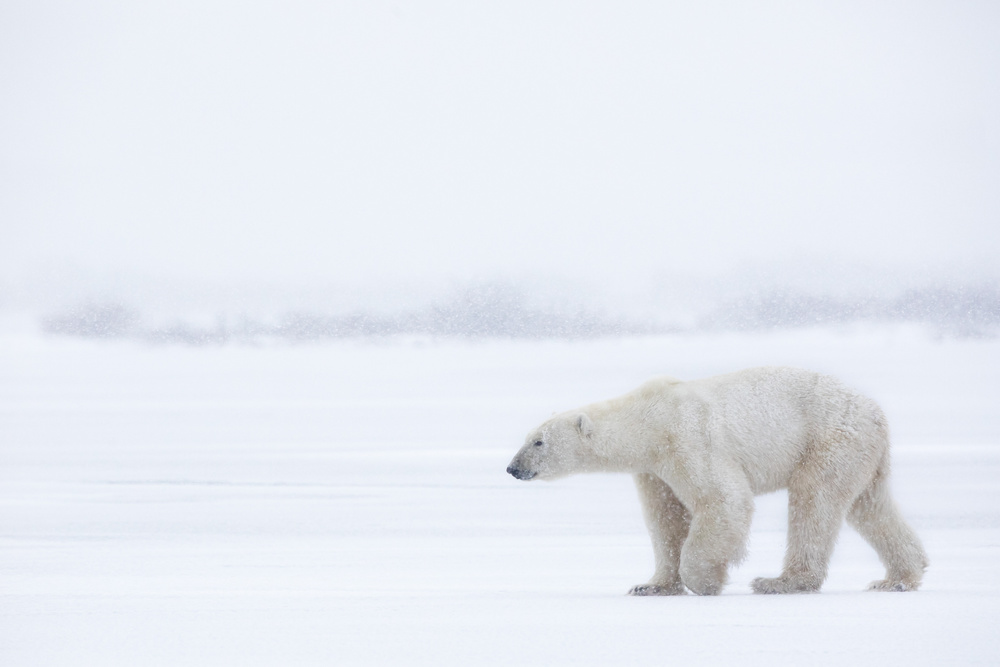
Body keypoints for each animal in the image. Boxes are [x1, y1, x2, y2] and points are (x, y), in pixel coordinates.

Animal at [506, 366, 928, 595]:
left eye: (538, 441)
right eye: (527, 437)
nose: (512, 468)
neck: (647, 419)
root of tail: (876, 412)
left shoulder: (686, 438)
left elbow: (724, 499)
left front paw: (706, 580)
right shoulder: (653, 469)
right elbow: (666, 520)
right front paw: (650, 585)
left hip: (828, 439)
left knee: (814, 502)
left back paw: (779, 581)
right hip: (861, 453)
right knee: (870, 506)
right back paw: (899, 577)